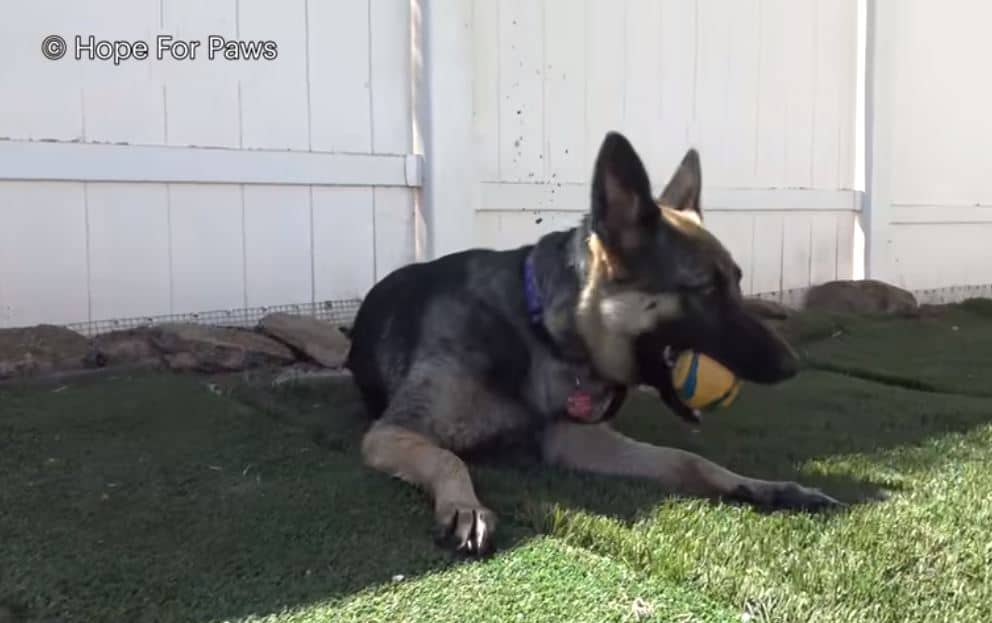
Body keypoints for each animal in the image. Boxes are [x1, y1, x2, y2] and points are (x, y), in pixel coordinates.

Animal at [344, 132, 840, 556]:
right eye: (706, 290)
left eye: (737, 282)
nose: (791, 365)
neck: (538, 330)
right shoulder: (391, 433)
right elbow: (448, 459)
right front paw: (465, 506)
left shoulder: (575, 441)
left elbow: (688, 460)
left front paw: (765, 487)